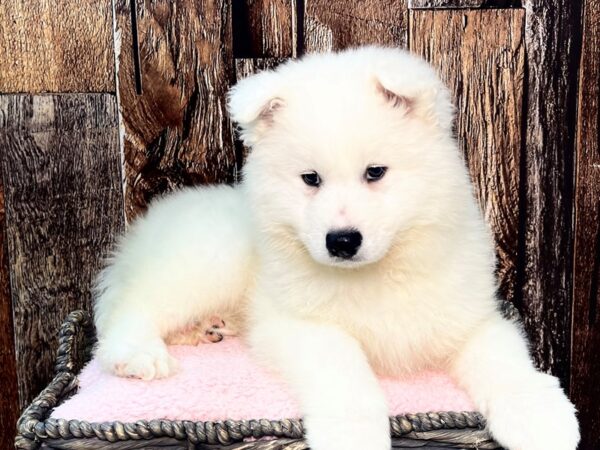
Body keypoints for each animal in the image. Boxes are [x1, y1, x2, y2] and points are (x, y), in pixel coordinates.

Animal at [95, 46, 580, 450]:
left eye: (375, 172)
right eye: (311, 179)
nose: (342, 240)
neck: (375, 275)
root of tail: (138, 235)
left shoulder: (468, 317)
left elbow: (506, 361)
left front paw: (543, 420)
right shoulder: (300, 324)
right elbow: (346, 372)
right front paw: (354, 436)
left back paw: (207, 329)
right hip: (204, 262)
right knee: (130, 309)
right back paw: (139, 355)